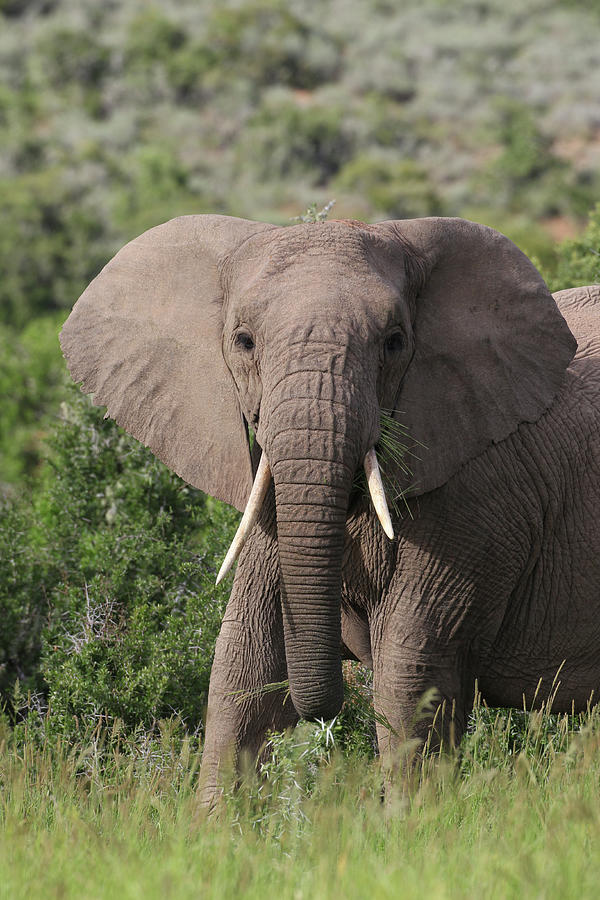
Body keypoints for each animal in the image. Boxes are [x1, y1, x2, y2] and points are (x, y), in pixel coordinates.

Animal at [59, 214, 600, 804]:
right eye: (244, 342)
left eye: (394, 342)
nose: (324, 719)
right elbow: (244, 663)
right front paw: (213, 824)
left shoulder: (477, 503)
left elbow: (409, 673)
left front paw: (413, 822)